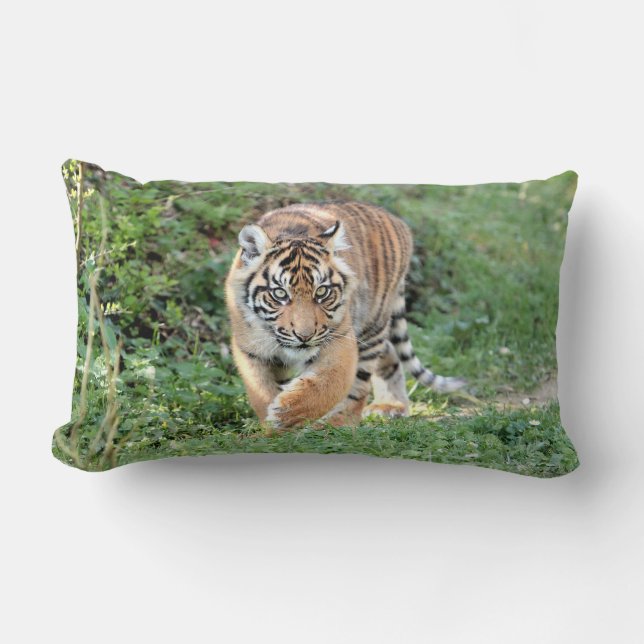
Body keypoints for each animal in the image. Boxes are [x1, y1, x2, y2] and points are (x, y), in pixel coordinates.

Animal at [224, 201, 465, 431]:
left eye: (322, 292)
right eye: (280, 294)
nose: (305, 336)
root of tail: (397, 220)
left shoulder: (341, 341)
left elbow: (329, 384)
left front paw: (286, 414)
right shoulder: (250, 350)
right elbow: (261, 391)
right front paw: (273, 427)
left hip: (372, 328)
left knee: (358, 388)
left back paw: (337, 424)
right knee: (390, 355)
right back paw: (391, 405)